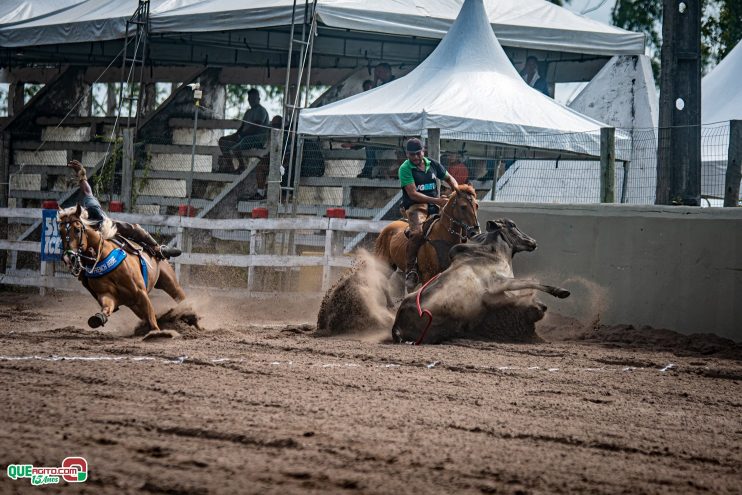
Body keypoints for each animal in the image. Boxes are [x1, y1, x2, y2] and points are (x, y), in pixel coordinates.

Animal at [57, 203, 186, 336]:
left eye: (77, 230)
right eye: (60, 232)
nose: (68, 258)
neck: (105, 258)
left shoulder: (141, 293)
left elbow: (151, 317)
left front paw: (156, 333)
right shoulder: (108, 295)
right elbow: (107, 307)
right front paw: (99, 318)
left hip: (169, 282)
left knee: (181, 298)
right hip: (134, 304)